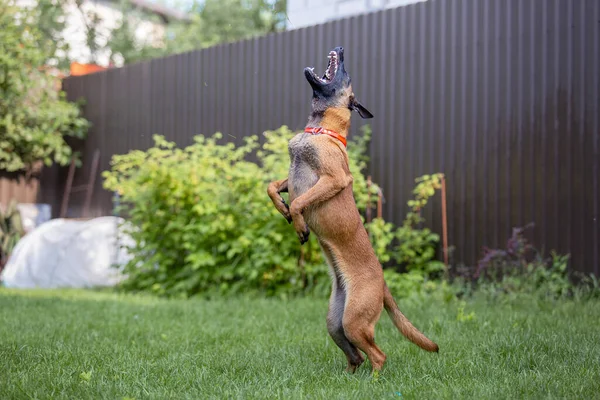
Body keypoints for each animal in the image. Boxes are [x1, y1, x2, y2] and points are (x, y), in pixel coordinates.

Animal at [270, 47, 438, 376]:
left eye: (347, 75)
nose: (341, 48)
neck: (321, 129)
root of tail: (383, 285)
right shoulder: (291, 179)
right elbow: (272, 186)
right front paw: (282, 209)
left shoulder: (334, 180)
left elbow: (299, 202)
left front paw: (299, 225)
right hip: (335, 322)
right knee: (356, 355)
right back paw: (347, 378)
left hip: (354, 320)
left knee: (378, 355)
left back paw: (373, 381)